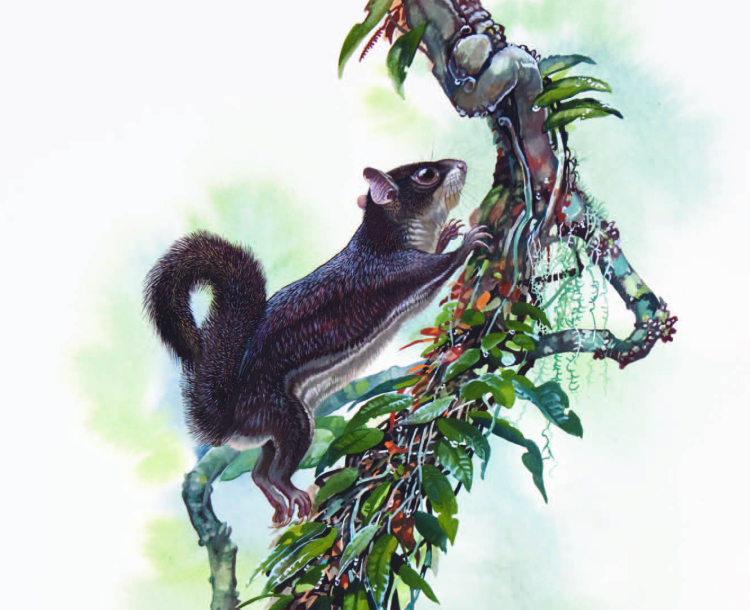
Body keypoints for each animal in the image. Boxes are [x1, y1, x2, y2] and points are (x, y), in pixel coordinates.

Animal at [144, 159, 490, 525]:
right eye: (426, 175)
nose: (462, 164)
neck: (380, 239)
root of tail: (232, 417)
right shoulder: (392, 272)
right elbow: (439, 267)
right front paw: (467, 241)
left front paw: (448, 234)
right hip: (288, 416)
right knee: (277, 470)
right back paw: (292, 493)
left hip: (276, 428)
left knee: (259, 472)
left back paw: (278, 503)